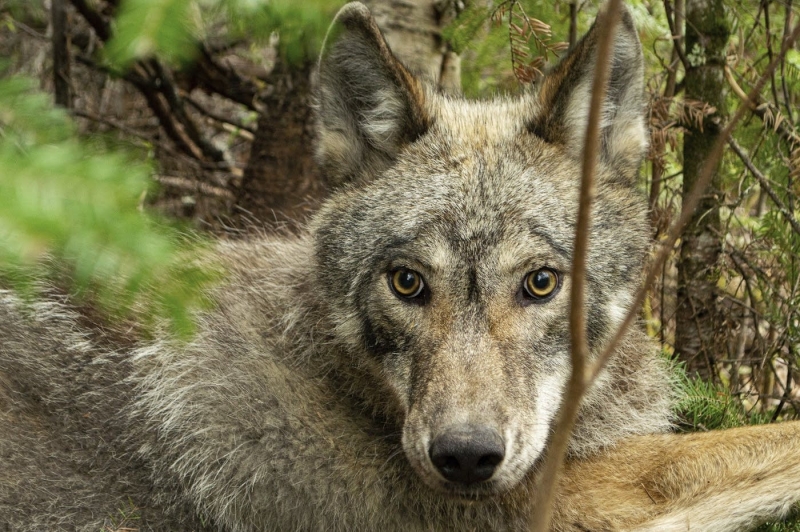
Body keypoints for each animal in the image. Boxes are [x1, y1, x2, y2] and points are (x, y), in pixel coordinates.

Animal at [1, 2, 800, 528]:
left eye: (540, 283)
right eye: (407, 282)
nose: (465, 458)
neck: (352, 383)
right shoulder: (571, 499)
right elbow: (762, 441)